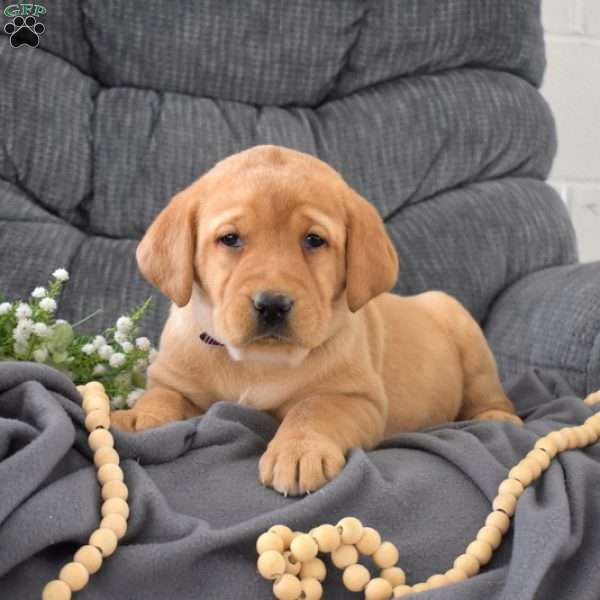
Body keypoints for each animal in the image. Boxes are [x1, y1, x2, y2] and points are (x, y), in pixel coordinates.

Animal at [113, 144, 520, 492]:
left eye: (313, 240)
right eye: (230, 239)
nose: (272, 304)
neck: (258, 363)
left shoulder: (359, 398)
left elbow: (314, 407)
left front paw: (297, 451)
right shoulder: (176, 381)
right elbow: (161, 396)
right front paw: (138, 416)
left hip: (463, 330)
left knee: (491, 395)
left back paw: (496, 420)